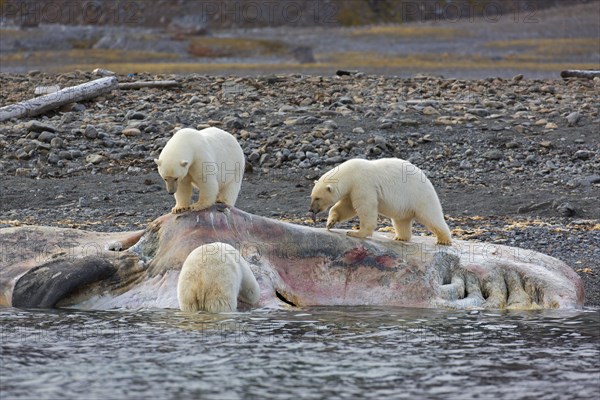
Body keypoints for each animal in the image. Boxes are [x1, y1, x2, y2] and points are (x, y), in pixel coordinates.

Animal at [310, 158, 450, 245]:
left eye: (318, 198)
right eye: (312, 196)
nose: (311, 210)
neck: (350, 174)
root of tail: (427, 179)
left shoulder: (363, 184)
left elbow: (365, 207)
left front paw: (356, 233)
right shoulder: (352, 190)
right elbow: (346, 207)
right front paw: (330, 223)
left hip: (419, 195)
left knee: (431, 216)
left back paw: (444, 239)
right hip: (404, 206)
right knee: (401, 221)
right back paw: (400, 237)